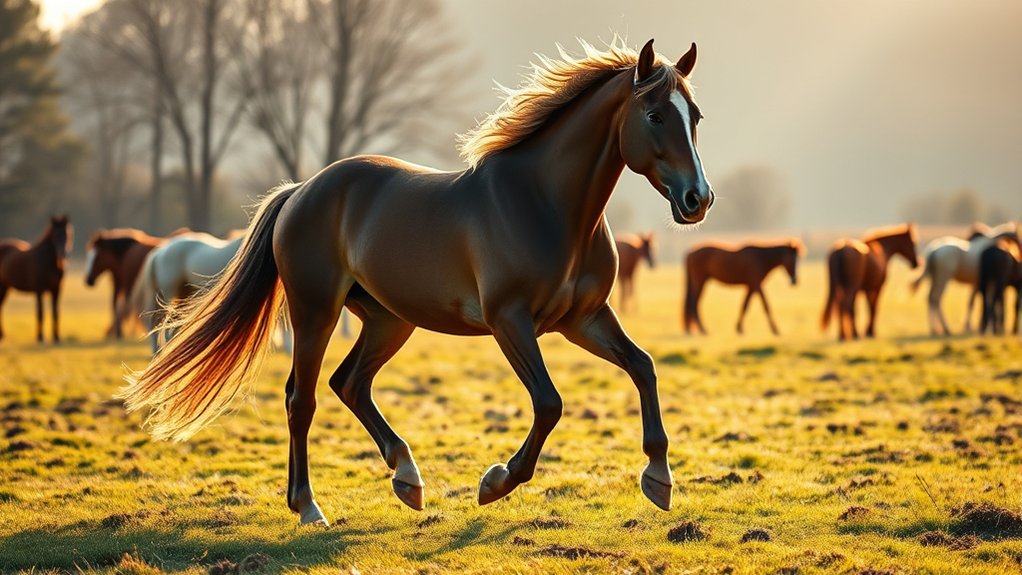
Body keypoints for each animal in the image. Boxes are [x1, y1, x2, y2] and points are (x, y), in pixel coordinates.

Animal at [120, 38, 713, 525]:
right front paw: (495, 483)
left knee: (349, 384)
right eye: (655, 115)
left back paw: (407, 476)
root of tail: (301, 190)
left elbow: (643, 366)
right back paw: (309, 506)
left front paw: (659, 478)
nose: (697, 199)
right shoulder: (511, 321)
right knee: (301, 398)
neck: (546, 205)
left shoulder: (583, 318)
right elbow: (549, 403)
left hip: (388, 320)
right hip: (316, 312)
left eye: (696, 116)